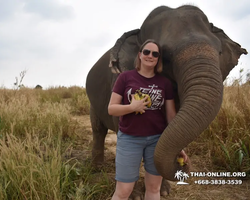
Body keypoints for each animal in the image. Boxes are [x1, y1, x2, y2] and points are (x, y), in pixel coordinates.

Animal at [85, 3, 246, 198]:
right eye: (166, 56)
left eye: (220, 52)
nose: (183, 163)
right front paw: (136, 195)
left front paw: (164, 192)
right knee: (98, 130)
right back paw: (97, 168)